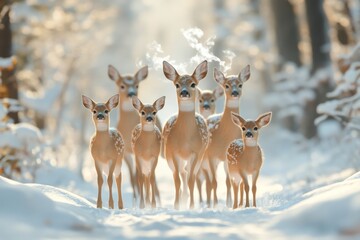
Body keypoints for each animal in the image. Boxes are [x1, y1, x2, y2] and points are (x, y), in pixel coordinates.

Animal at [107, 64, 161, 205]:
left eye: (137, 85)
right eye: (122, 85)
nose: (131, 93)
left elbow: (140, 176)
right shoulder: (126, 152)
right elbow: (132, 177)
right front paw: (135, 200)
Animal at [162, 60, 210, 210]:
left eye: (193, 84)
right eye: (177, 84)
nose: (184, 92)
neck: (185, 140)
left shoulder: (196, 152)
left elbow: (191, 180)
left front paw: (192, 206)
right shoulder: (173, 152)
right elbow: (177, 180)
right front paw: (176, 205)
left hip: (199, 157)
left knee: (188, 174)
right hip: (170, 157)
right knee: (182, 173)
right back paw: (183, 197)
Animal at [202, 64, 250, 207]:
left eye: (240, 84)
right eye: (227, 85)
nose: (235, 93)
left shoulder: (226, 158)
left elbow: (229, 182)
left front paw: (230, 203)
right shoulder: (211, 155)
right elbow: (214, 182)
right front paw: (215, 205)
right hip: (204, 160)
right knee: (208, 181)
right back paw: (209, 203)